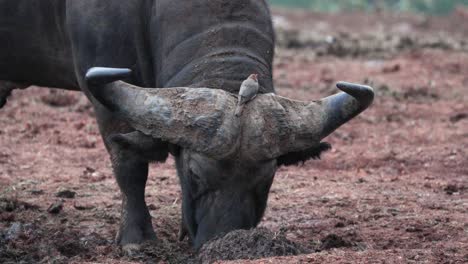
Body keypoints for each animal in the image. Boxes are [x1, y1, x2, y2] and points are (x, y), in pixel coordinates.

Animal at [0, 0, 372, 250]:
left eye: (268, 178)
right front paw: (137, 238)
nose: (223, 242)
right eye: (194, 174)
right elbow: (130, 165)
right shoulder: (104, 92)